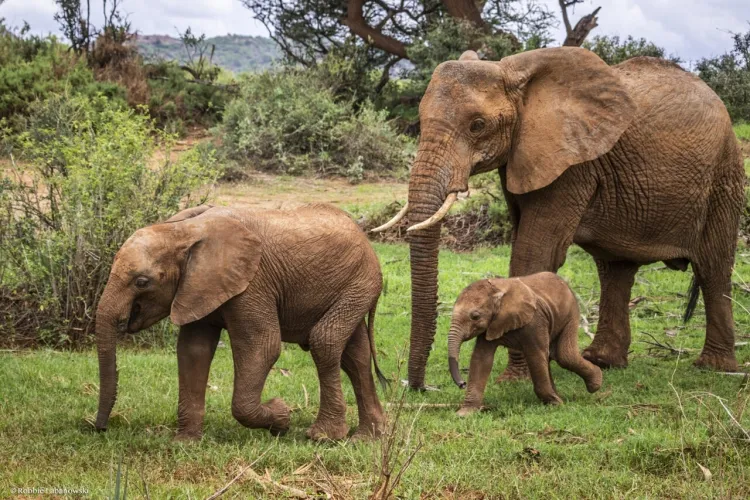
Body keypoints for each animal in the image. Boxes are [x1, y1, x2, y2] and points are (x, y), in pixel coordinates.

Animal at [94, 203, 388, 442]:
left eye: (142, 282)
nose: (101, 429)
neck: (184, 232)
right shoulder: (196, 285)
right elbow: (193, 351)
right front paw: (185, 443)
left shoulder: (253, 283)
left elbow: (262, 346)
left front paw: (281, 417)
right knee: (355, 355)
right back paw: (368, 438)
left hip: (360, 282)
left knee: (326, 340)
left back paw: (325, 437)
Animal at [376, 47, 748, 388]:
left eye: (477, 125)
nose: (417, 386)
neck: (514, 72)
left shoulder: (572, 163)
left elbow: (535, 252)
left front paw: (514, 379)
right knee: (615, 271)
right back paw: (602, 361)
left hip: (725, 172)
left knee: (713, 266)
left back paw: (714, 368)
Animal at [450, 272, 604, 412]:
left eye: (475, 316)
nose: (462, 384)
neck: (498, 290)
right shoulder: (490, 325)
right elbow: (481, 359)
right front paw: (465, 413)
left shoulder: (535, 321)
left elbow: (535, 355)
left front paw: (556, 404)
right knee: (552, 356)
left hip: (571, 313)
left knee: (564, 355)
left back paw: (595, 384)